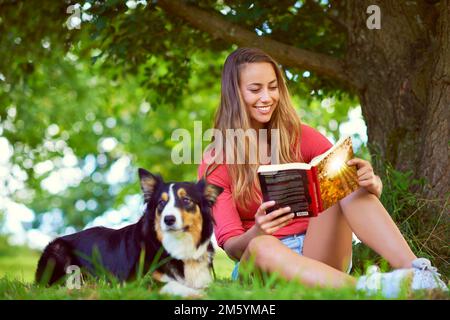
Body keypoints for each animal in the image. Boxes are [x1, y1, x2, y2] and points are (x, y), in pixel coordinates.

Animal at [35, 169, 223, 296]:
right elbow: (174, 285)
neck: (177, 246)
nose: (168, 219)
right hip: (58, 250)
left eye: (186, 200)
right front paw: (200, 295)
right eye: (161, 203)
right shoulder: (139, 280)